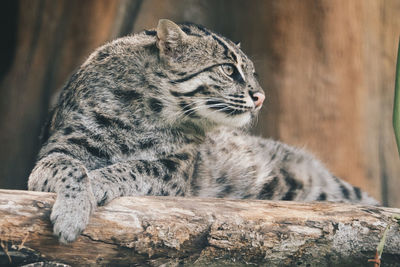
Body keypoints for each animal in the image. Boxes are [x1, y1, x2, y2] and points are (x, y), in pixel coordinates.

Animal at [28, 19, 378, 245]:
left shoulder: (176, 169)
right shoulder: (60, 146)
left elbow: (134, 167)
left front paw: (97, 184)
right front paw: (74, 211)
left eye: (252, 72)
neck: (144, 112)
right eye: (228, 69)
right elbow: (70, 167)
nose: (261, 96)